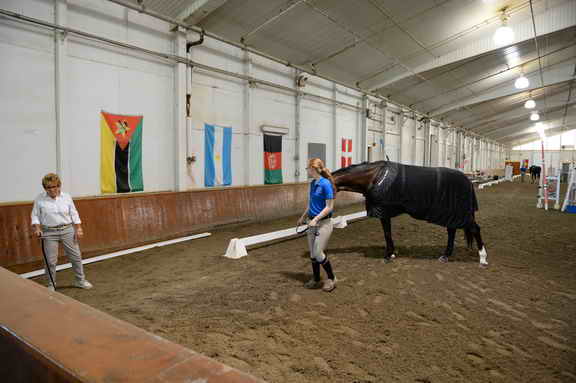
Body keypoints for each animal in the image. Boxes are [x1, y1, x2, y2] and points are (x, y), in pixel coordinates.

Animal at [330, 161, 488, 268]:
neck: (375, 177)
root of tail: (467, 180)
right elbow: (388, 233)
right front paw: (392, 253)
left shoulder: (384, 211)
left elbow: (387, 233)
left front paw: (388, 256)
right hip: (451, 214)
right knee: (452, 231)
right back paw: (445, 256)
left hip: (459, 214)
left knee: (475, 229)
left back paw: (483, 259)